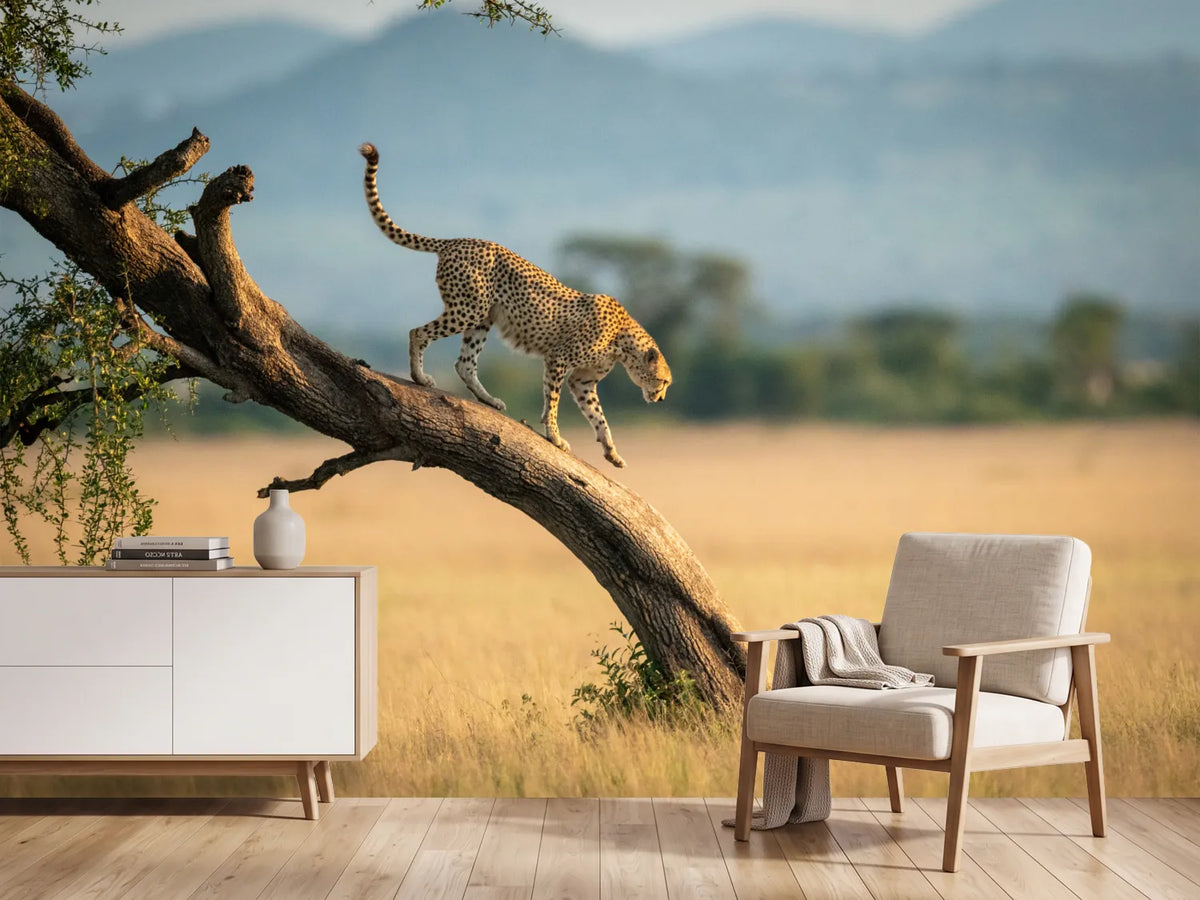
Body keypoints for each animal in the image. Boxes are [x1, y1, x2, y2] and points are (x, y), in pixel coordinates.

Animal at [358, 142, 672, 468]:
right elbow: (553, 401)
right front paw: (554, 436)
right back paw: (420, 377)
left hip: (482, 318)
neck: (623, 341)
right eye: (663, 381)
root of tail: (457, 240)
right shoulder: (558, 358)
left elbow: (598, 416)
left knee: (464, 363)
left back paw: (488, 399)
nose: (660, 398)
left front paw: (611, 451)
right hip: (467, 309)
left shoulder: (583, 381)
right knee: (418, 332)